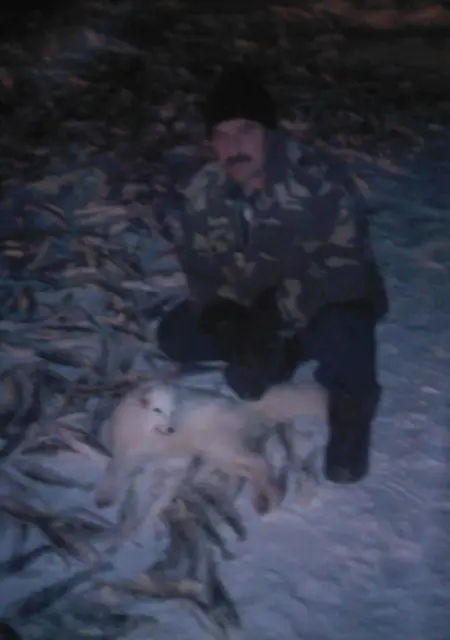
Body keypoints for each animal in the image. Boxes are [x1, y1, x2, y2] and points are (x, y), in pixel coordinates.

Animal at [94, 378, 327, 515]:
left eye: (172, 411)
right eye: (157, 410)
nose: (172, 429)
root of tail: (243, 406)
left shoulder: (137, 455)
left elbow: (114, 470)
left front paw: (105, 497)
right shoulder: (126, 451)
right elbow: (112, 466)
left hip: (222, 452)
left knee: (258, 463)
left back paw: (265, 499)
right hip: (220, 456)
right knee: (253, 469)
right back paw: (265, 499)